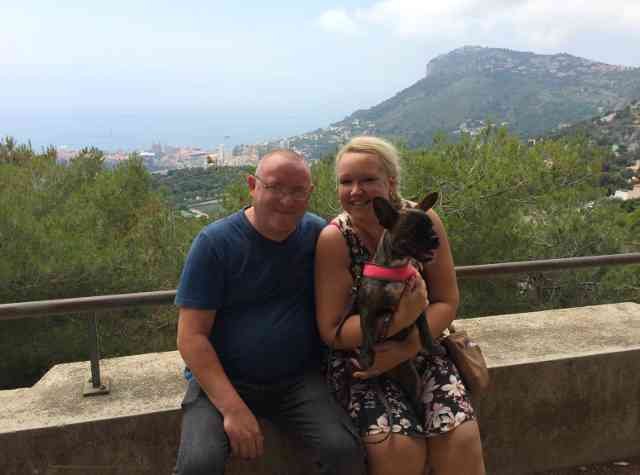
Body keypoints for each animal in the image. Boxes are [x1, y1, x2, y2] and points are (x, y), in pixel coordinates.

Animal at [358, 192, 442, 414]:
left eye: (431, 227)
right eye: (413, 230)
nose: (435, 238)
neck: (396, 267)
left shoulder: (419, 306)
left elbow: (425, 327)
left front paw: (431, 345)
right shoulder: (368, 309)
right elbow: (367, 330)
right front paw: (367, 354)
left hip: (412, 380)